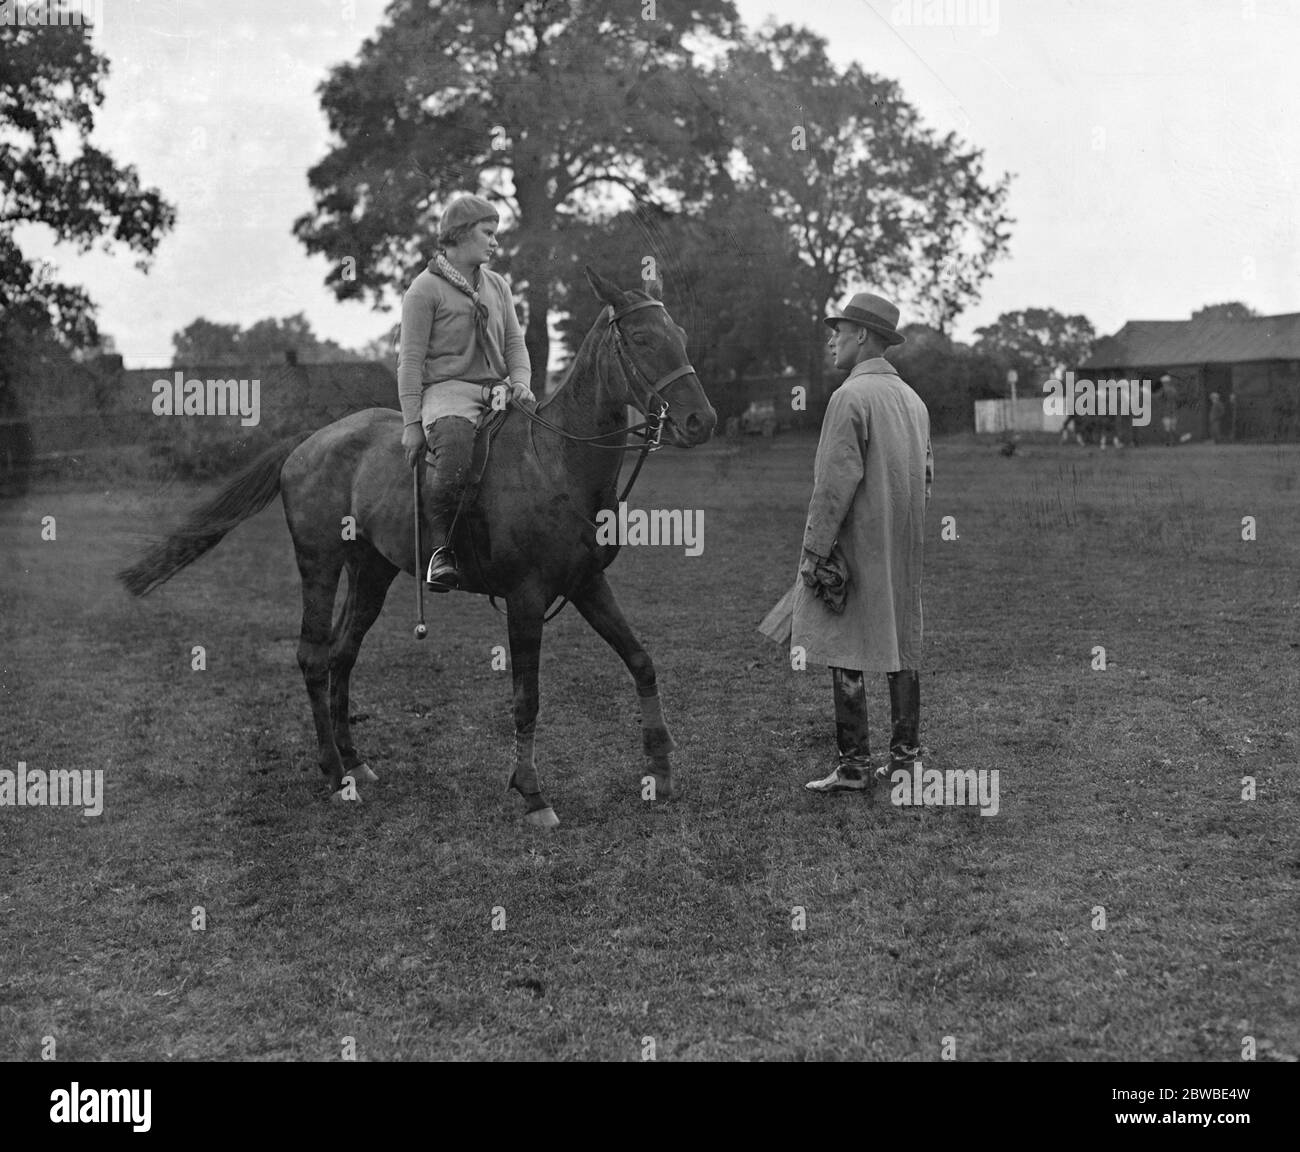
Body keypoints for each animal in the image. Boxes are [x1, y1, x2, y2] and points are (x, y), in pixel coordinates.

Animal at [116, 267, 717, 832]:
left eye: (681, 335)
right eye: (641, 338)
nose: (700, 421)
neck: (557, 460)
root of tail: (307, 441)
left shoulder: (587, 584)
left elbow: (641, 661)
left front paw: (660, 770)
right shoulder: (525, 600)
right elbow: (527, 699)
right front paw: (532, 794)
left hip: (372, 571)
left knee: (343, 654)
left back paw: (355, 763)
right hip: (320, 563)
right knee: (313, 655)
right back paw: (334, 774)